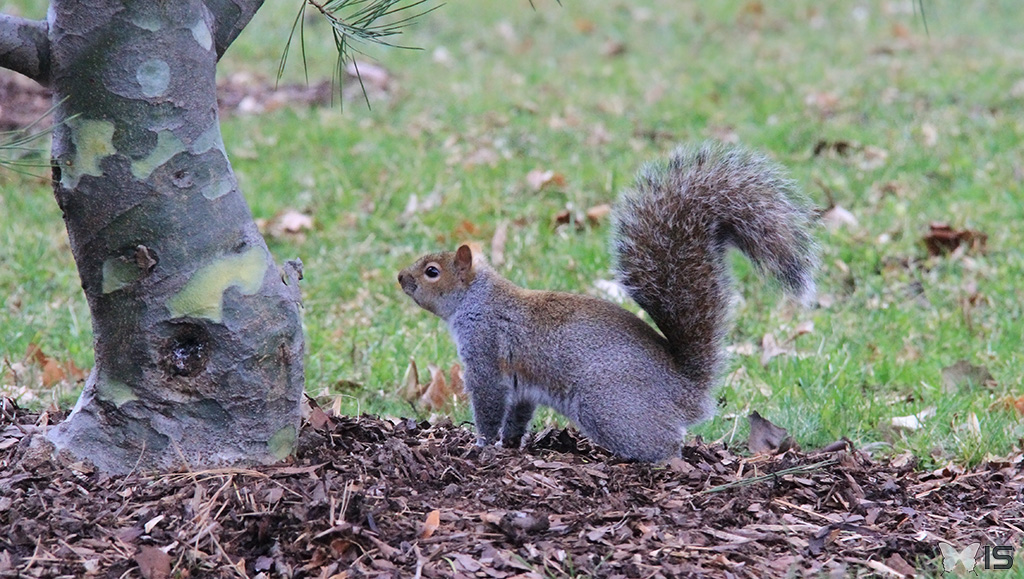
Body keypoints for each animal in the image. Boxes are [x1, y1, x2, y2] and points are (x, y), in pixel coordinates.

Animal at [397, 143, 815, 461]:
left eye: (432, 271)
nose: (401, 278)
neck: (476, 298)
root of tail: (687, 391)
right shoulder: (522, 385)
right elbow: (517, 413)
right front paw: (509, 443)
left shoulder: (485, 350)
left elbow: (487, 402)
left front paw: (481, 444)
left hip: (606, 404)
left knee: (666, 446)